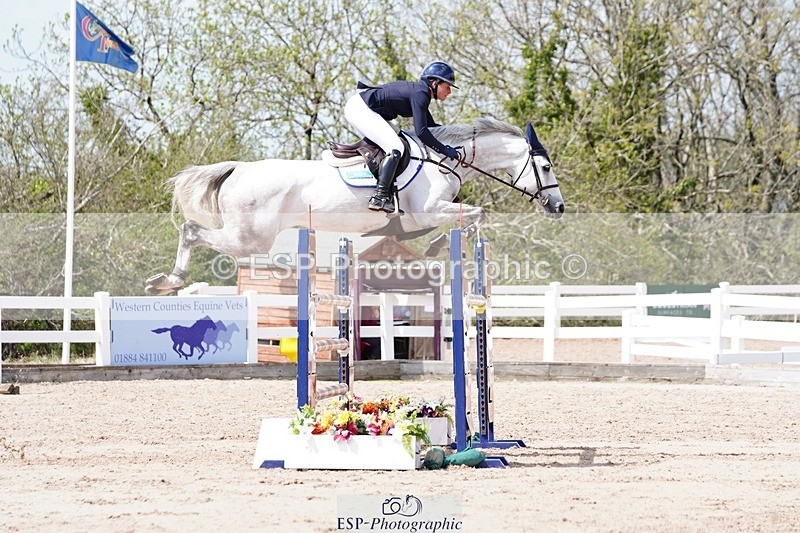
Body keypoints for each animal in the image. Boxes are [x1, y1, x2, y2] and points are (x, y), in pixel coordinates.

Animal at [145, 117, 563, 295]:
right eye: (545, 167)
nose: (558, 207)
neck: (444, 158)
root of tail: (239, 168)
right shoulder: (426, 211)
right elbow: (477, 214)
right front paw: (440, 246)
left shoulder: (415, 220)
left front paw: (439, 245)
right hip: (250, 238)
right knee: (192, 231)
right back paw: (169, 280)